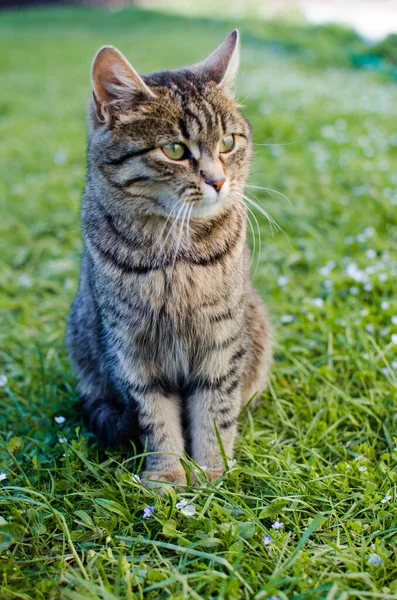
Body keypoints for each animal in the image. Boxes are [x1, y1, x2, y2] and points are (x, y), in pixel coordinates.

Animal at [68, 30, 272, 486]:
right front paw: (166, 477)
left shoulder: (221, 341)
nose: (218, 181)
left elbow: (216, 411)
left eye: (228, 143)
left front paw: (212, 473)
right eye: (175, 150)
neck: (175, 254)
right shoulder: (132, 351)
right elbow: (156, 418)